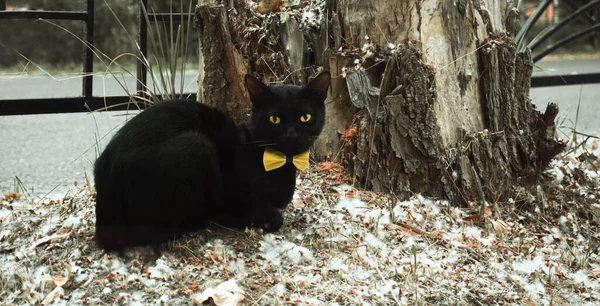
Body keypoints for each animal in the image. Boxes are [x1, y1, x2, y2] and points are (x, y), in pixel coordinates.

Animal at [94, 71, 330, 251]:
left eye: (305, 117)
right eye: (275, 119)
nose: (291, 135)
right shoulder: (233, 201)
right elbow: (272, 216)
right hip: (196, 144)